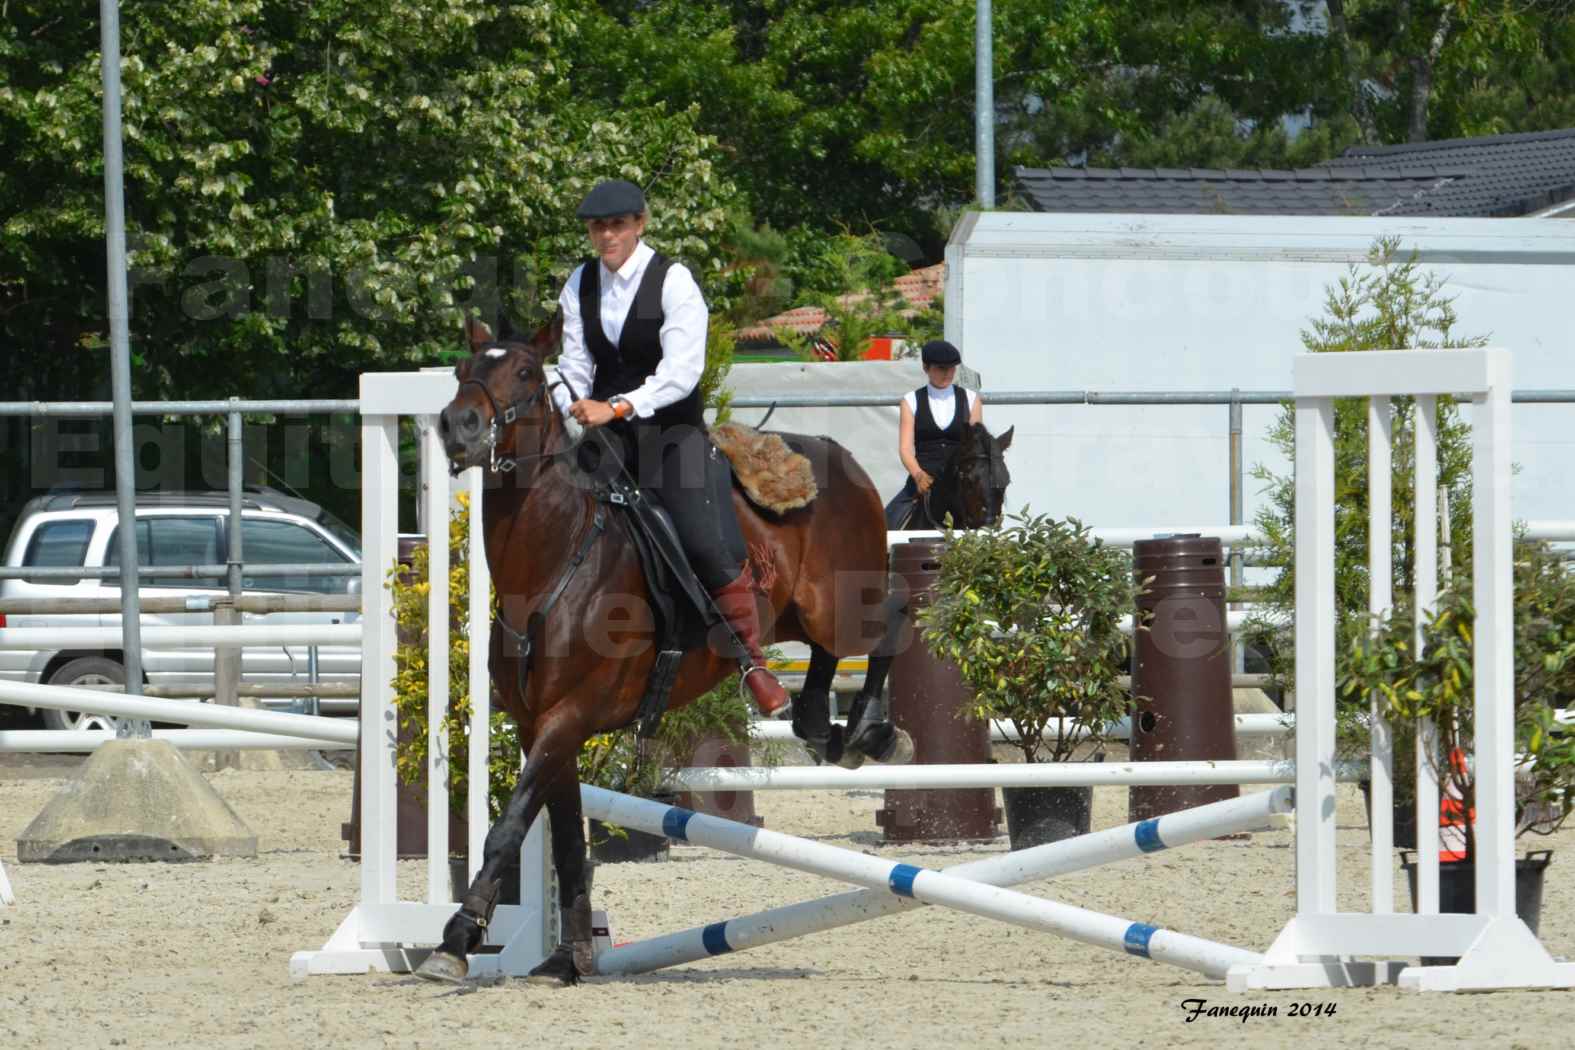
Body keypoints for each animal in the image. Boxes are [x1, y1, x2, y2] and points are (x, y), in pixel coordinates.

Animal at [422, 317, 919, 988]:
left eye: (525, 372)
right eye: (461, 371)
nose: (461, 426)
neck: (557, 558)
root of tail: (836, 454)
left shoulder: (568, 717)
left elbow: (508, 828)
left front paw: (456, 939)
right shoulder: (539, 728)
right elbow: (566, 843)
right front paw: (566, 958)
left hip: (842, 607)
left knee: (894, 618)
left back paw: (872, 731)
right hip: (799, 611)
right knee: (820, 663)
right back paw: (822, 722)